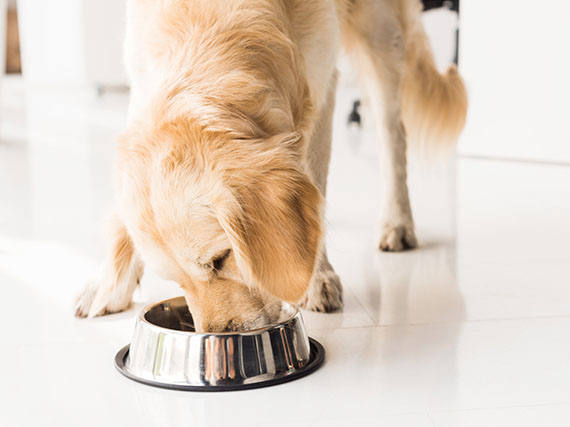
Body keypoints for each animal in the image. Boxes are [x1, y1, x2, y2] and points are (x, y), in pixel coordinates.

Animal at [75, 0, 466, 332]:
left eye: (221, 259)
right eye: (175, 280)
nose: (217, 335)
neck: (208, 21)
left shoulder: (320, 82)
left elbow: (314, 179)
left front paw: (315, 277)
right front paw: (109, 282)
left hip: (381, 31)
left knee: (392, 134)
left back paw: (396, 222)